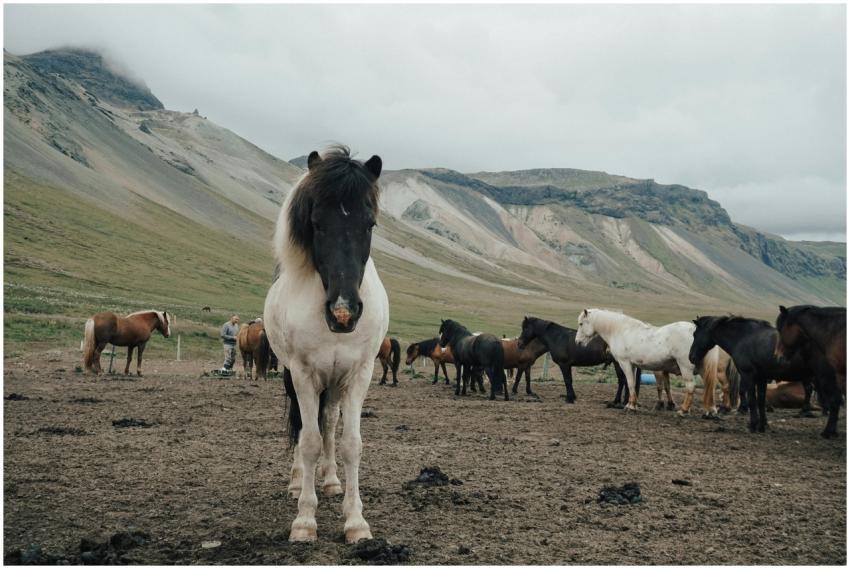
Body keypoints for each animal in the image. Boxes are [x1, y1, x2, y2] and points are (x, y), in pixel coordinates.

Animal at [263, 146, 387, 543]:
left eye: (370, 224)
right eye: (316, 223)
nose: (344, 312)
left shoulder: (360, 373)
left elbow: (350, 443)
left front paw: (355, 520)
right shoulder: (302, 374)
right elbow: (309, 441)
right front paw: (304, 520)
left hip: (335, 382)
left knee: (330, 421)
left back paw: (331, 481)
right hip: (295, 376)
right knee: (304, 426)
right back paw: (296, 482)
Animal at [576, 309, 721, 416]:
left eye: (581, 324)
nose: (577, 342)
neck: (621, 330)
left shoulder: (625, 364)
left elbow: (630, 383)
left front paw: (630, 406)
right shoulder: (633, 365)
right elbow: (633, 384)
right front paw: (633, 404)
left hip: (686, 368)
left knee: (691, 387)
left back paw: (683, 410)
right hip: (703, 368)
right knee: (710, 387)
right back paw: (710, 411)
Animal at [689, 315, 817, 435]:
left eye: (695, 334)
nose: (691, 357)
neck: (743, 338)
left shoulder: (748, 375)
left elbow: (751, 399)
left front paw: (753, 425)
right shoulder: (761, 378)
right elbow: (760, 400)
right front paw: (763, 425)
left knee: (809, 389)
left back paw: (806, 412)